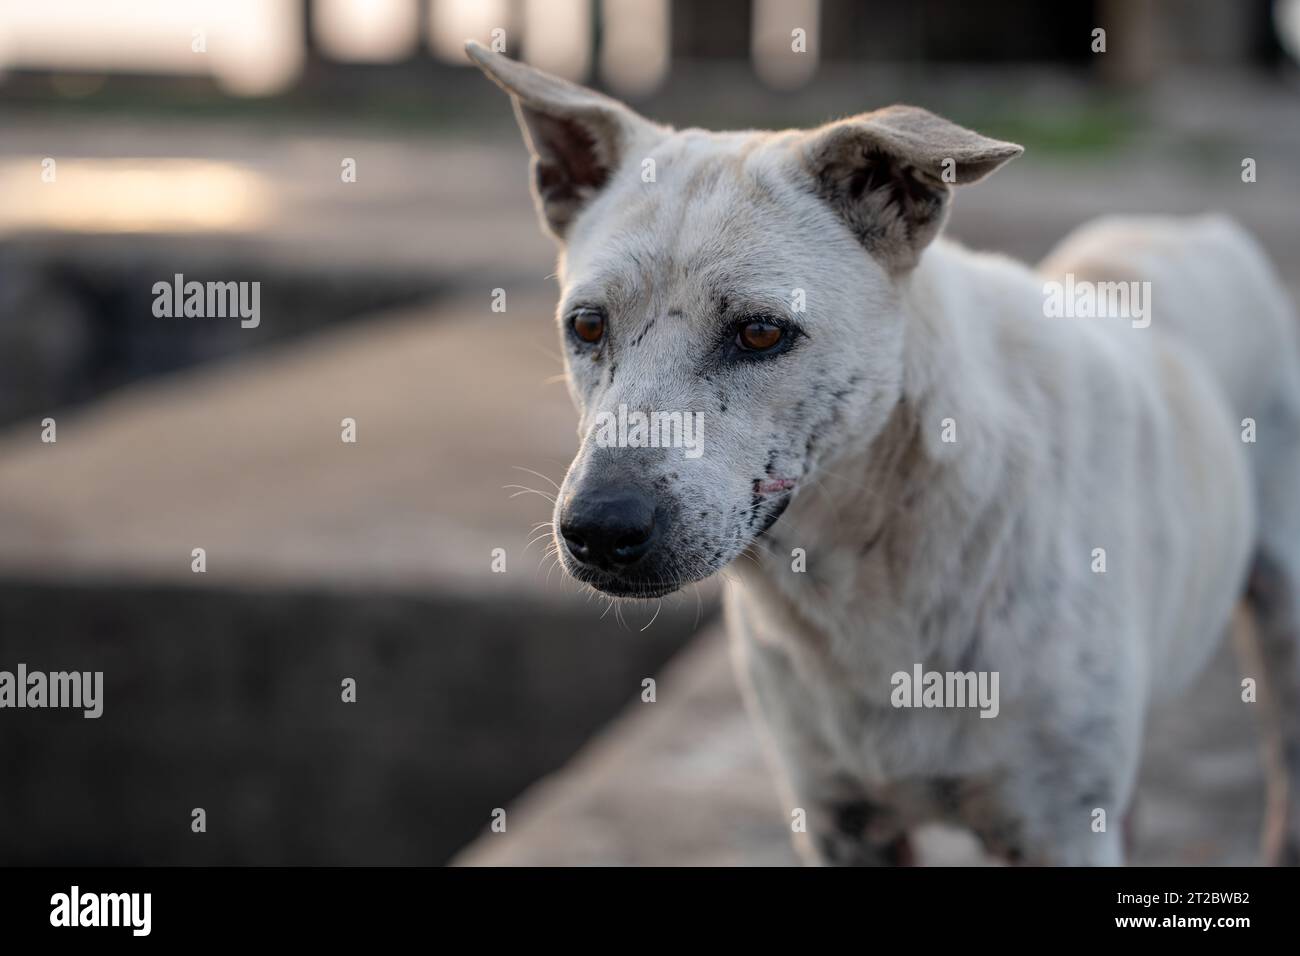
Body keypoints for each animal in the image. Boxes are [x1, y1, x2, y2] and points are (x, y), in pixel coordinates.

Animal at [470, 42, 1300, 868]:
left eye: (762, 332)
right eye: (586, 325)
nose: (600, 530)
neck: (874, 562)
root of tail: (1199, 227)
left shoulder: (1059, 832)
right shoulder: (840, 821)